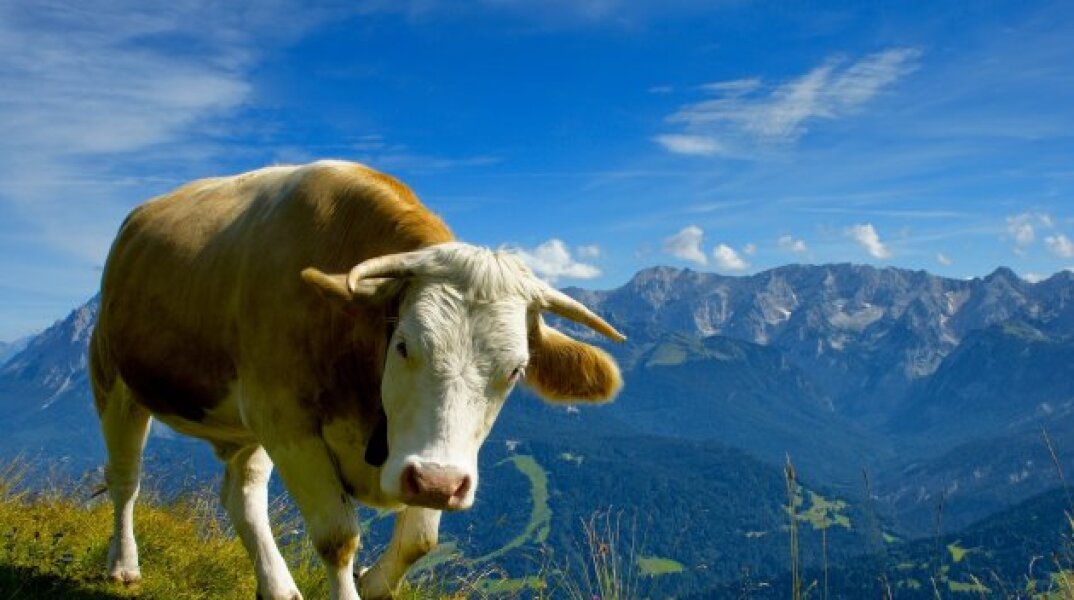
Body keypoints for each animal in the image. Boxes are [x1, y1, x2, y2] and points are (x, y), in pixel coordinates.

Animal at [89, 160, 625, 600]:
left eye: (514, 370)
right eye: (404, 344)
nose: (438, 482)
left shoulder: (428, 453)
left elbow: (419, 539)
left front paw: (373, 580)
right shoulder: (288, 425)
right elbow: (337, 538)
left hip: (244, 426)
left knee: (242, 494)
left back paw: (277, 587)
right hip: (113, 378)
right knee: (125, 478)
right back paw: (124, 565)